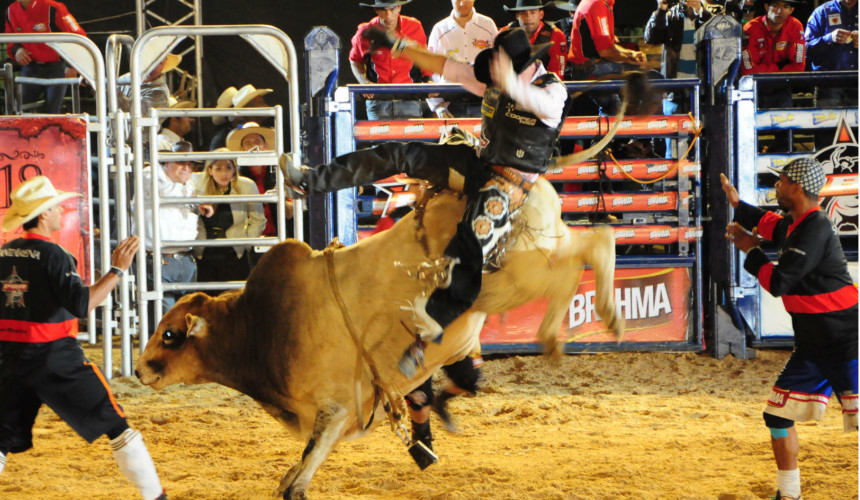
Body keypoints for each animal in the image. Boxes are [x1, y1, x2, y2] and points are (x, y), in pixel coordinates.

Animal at [134, 81, 640, 496]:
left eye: (171, 334)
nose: (139, 370)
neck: (262, 326)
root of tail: (514, 185)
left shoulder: (333, 412)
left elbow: (297, 481)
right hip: (537, 249)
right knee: (594, 242)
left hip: (517, 277)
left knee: (582, 261)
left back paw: (567, 330)